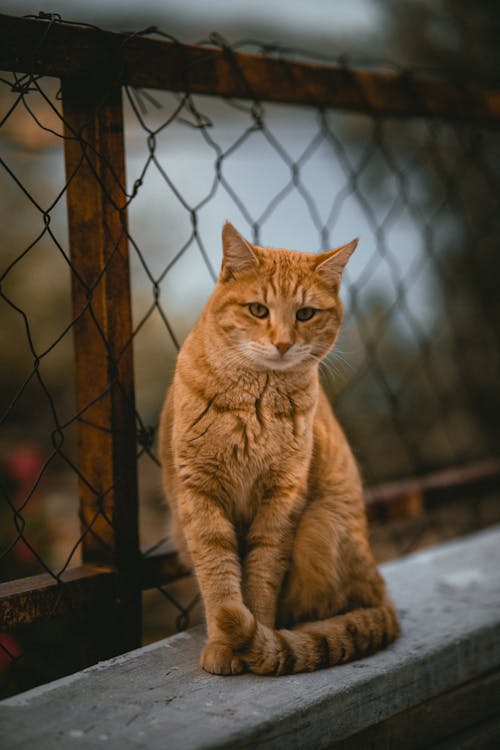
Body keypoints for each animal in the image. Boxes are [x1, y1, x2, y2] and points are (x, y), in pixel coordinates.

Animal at [158, 222, 400, 676]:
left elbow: (261, 576)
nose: (284, 343)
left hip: (318, 527)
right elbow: (219, 577)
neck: (256, 399)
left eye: (305, 314)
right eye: (258, 310)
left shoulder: (281, 499)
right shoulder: (200, 493)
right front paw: (226, 641)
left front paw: (254, 639)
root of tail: (381, 588)